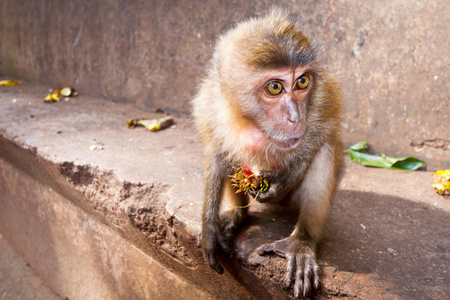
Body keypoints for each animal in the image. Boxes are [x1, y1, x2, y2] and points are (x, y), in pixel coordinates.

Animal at [192, 8, 342, 298]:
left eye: (302, 82)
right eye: (275, 87)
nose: (296, 117)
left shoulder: (322, 95)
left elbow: (325, 129)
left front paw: (286, 179)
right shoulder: (210, 103)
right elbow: (216, 152)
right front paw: (209, 227)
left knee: (324, 150)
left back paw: (301, 241)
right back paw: (237, 214)